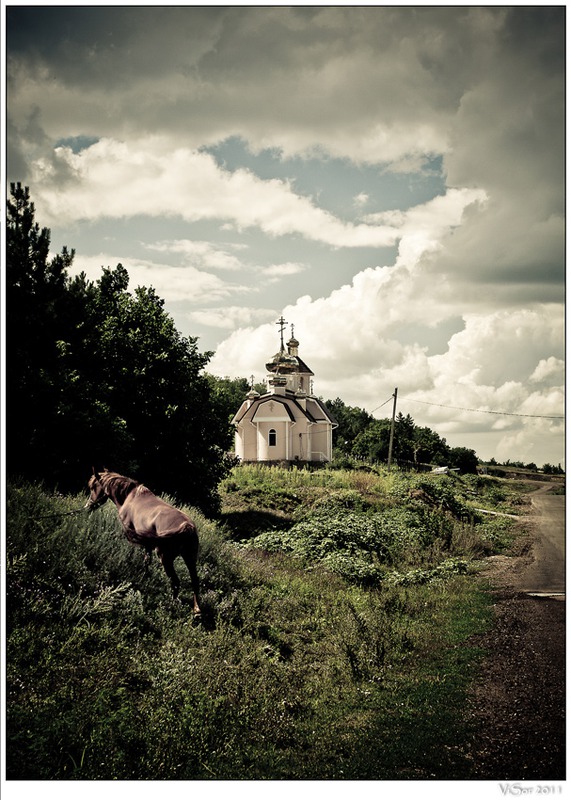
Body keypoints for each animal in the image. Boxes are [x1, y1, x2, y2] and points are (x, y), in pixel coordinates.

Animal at [85, 468, 201, 620]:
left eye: (93, 487)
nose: (88, 506)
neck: (130, 496)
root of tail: (187, 527)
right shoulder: (148, 544)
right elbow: (147, 560)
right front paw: (145, 576)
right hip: (190, 558)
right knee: (195, 581)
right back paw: (197, 610)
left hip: (166, 559)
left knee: (175, 582)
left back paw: (172, 605)